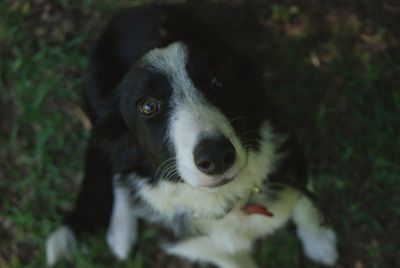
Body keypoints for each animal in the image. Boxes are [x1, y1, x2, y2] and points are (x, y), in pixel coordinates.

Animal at [48, 4, 340, 268]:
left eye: (218, 78)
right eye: (148, 106)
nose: (216, 156)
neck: (225, 198)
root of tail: (128, 12)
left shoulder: (290, 152)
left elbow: (305, 204)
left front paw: (319, 240)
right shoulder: (188, 241)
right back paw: (120, 231)